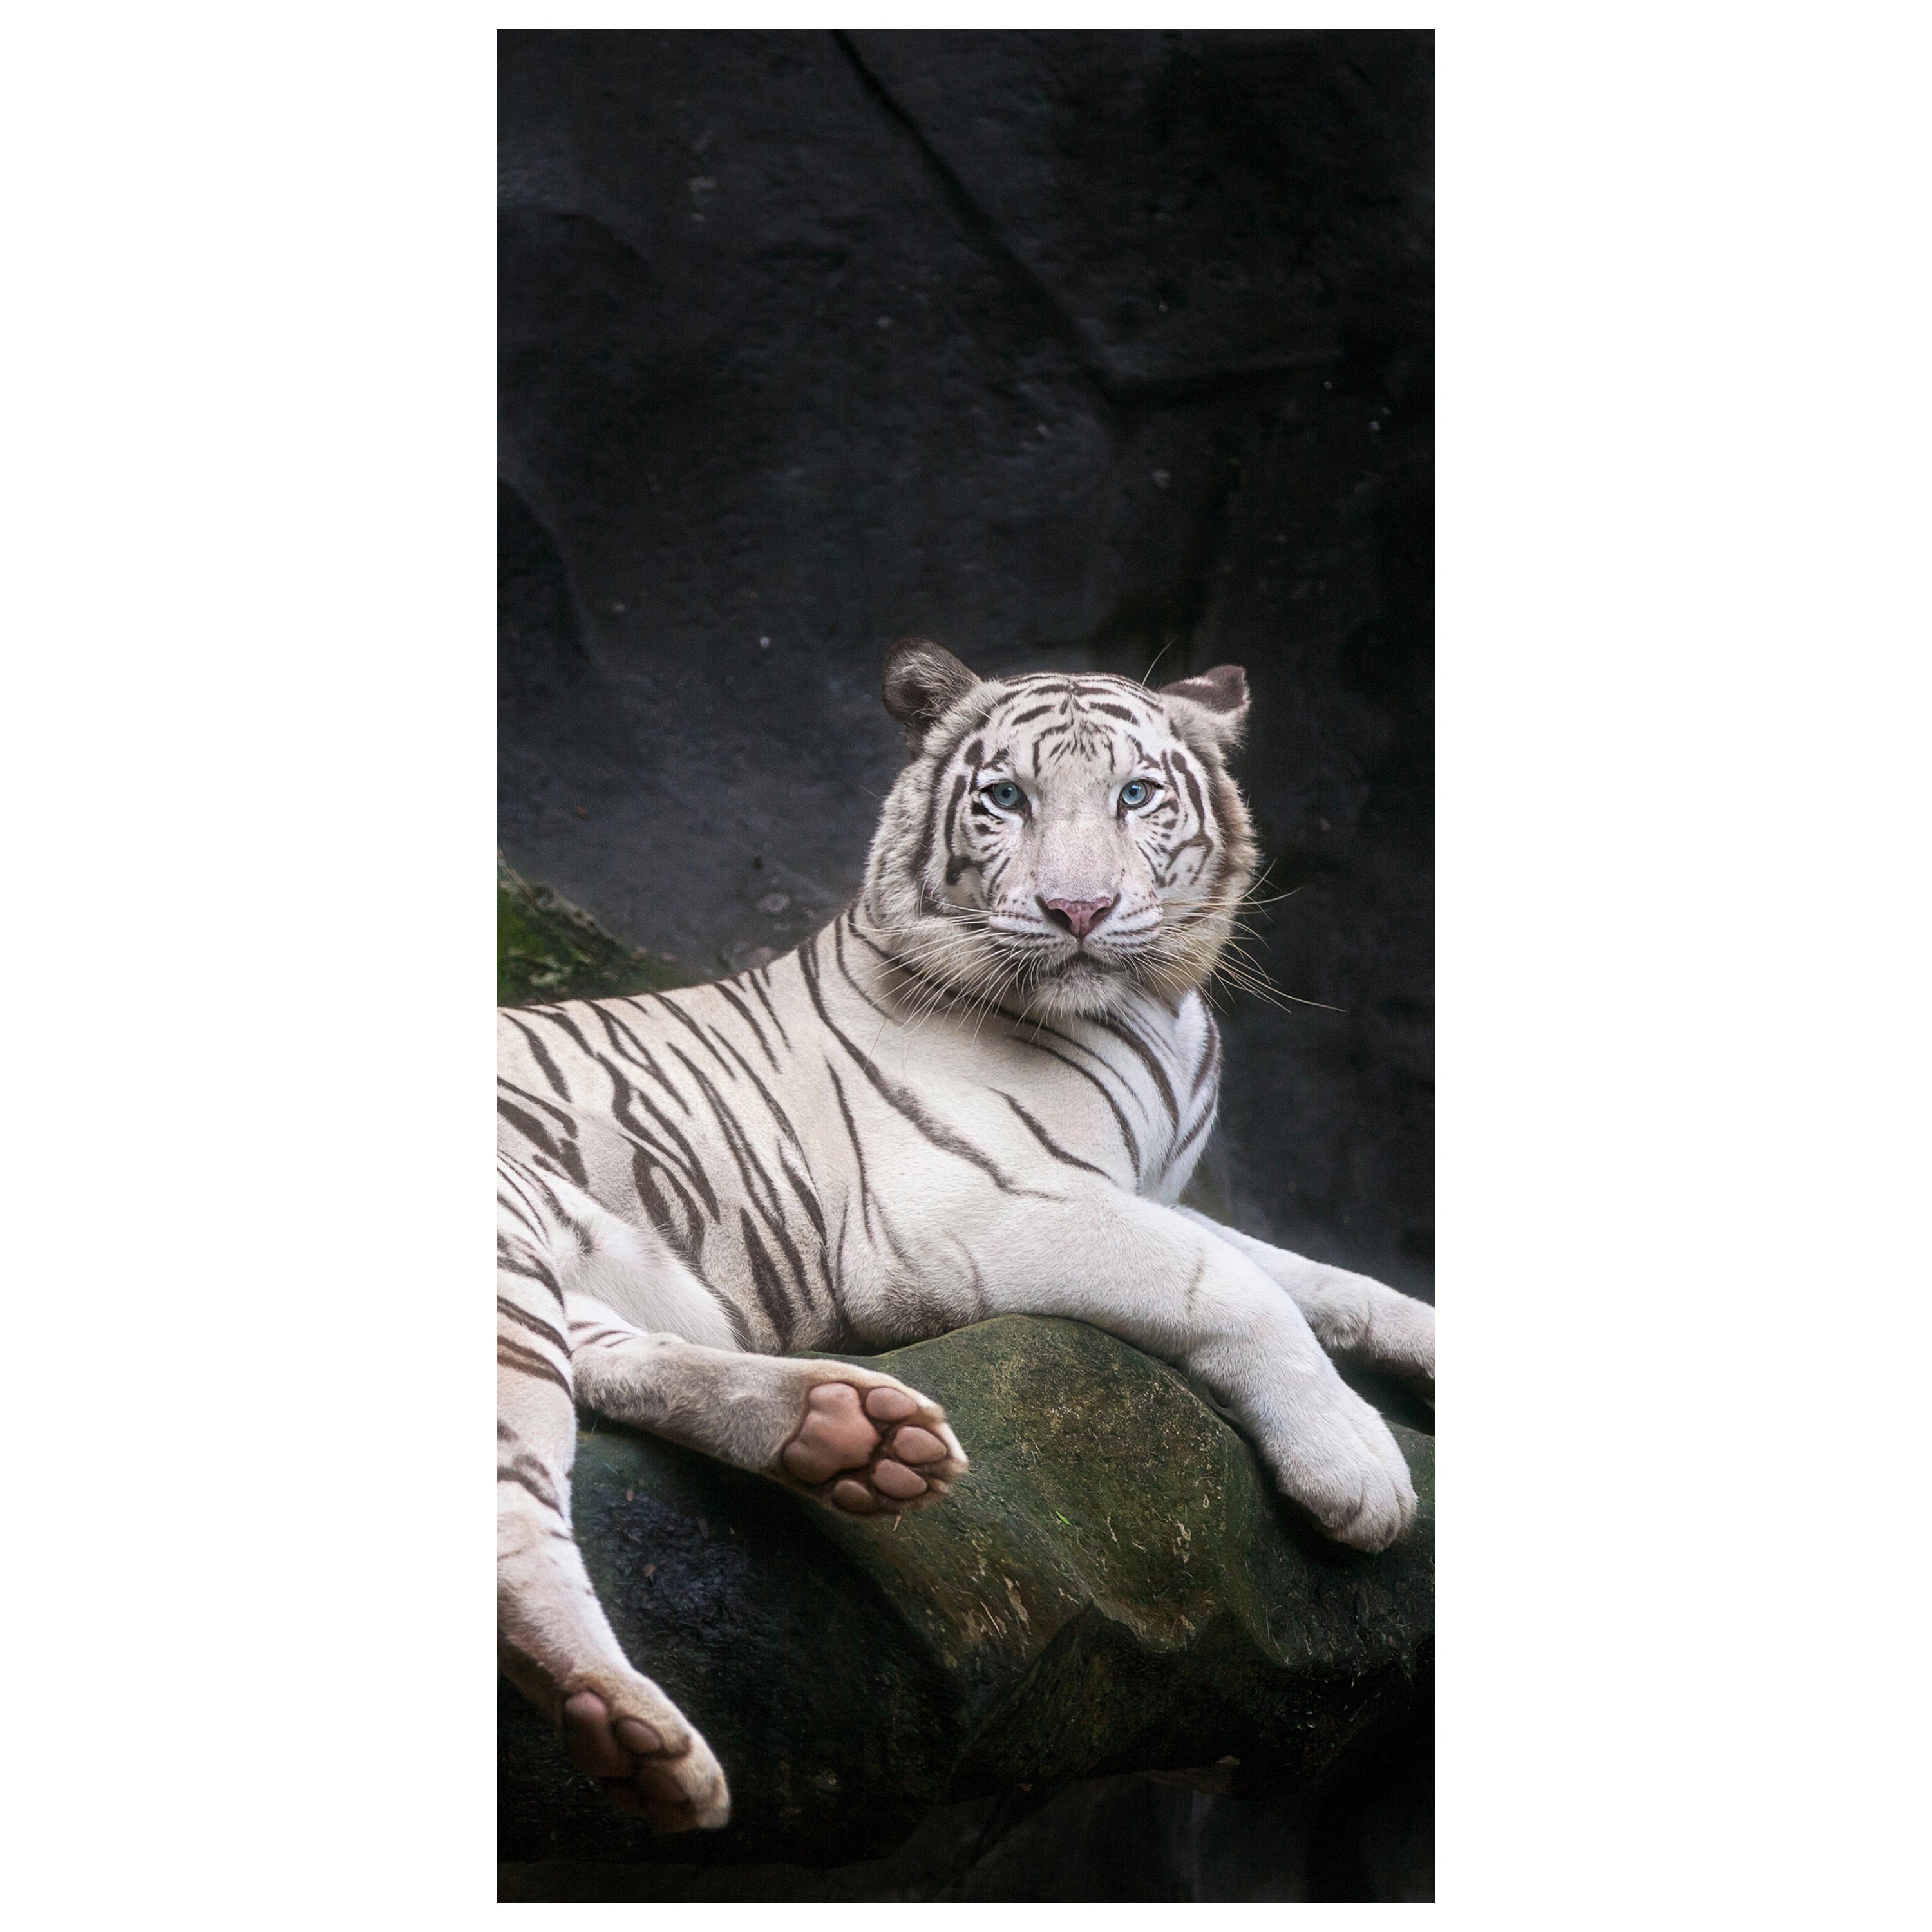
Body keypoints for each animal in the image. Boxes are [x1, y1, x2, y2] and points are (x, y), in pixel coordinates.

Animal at [497, 637, 1437, 1831]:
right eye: (1007, 800)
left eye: (1136, 796)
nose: (1078, 909)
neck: (1154, 1013)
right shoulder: (966, 1209)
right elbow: (1230, 1285)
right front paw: (1357, 1466)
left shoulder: (1145, 1189)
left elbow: (1327, 1279)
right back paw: (632, 1730)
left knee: (608, 1361)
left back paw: (849, 1433)